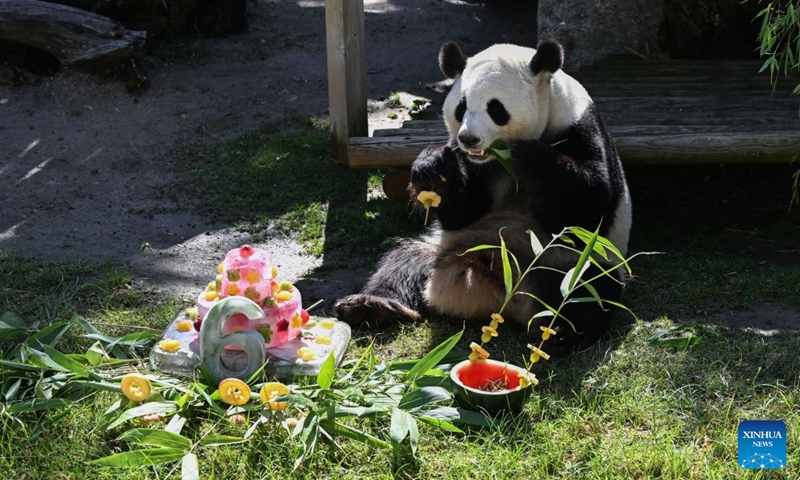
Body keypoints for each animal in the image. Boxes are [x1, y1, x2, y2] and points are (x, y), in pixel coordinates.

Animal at [335, 40, 632, 356]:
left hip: (573, 261)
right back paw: (370, 306)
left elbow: (590, 206)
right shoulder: (470, 164)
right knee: (402, 264)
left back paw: (557, 335)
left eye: (495, 108)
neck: (495, 158)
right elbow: (463, 210)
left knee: (582, 292)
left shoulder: (579, 127)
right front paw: (432, 168)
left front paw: (530, 158)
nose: (469, 139)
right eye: (461, 107)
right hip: (444, 248)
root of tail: (504, 293)